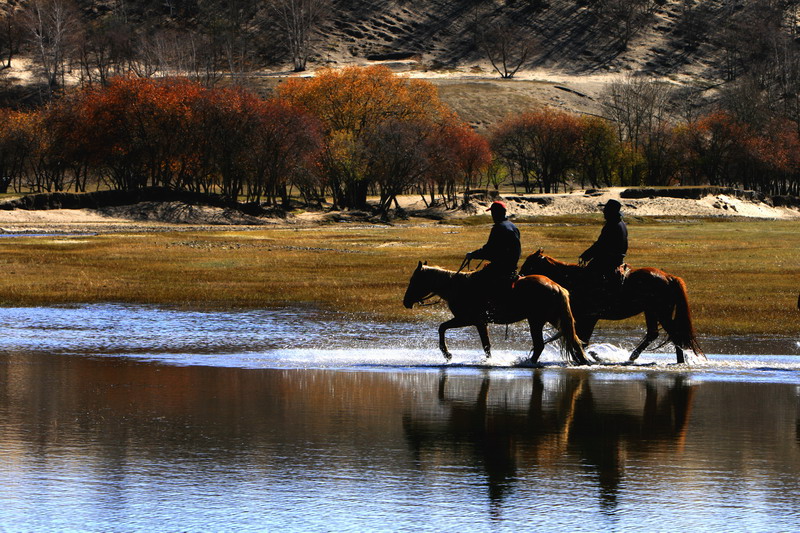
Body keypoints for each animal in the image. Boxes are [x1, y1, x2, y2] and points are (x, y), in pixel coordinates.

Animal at [404, 262, 592, 366]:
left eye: (414, 280)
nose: (405, 301)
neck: (457, 287)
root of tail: (557, 286)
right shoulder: (480, 323)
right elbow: (486, 345)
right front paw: (488, 361)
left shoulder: (467, 319)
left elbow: (442, 328)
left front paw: (447, 354)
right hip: (552, 318)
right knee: (573, 339)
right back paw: (583, 361)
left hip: (536, 320)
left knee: (540, 345)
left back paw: (526, 363)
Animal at [516, 248, 704, 364]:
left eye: (530, 263)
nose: (519, 276)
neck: (573, 280)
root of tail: (669, 277)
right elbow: (578, 337)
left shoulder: (589, 317)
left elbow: (582, 339)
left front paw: (587, 356)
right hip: (651, 311)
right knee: (653, 334)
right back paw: (631, 357)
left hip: (661, 312)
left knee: (675, 334)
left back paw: (679, 362)